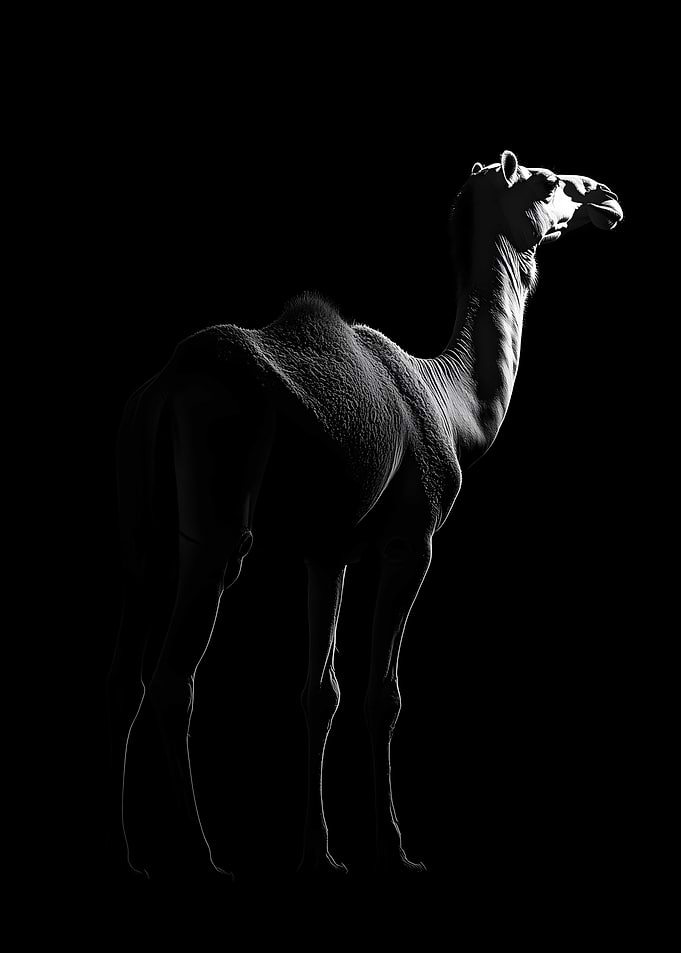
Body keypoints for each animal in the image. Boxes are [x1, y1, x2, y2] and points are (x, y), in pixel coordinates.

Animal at [105, 150, 623, 880]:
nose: (606, 197)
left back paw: (126, 855)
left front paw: (318, 853)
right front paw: (395, 850)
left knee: (125, 675)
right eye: (545, 182)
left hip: (139, 527)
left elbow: (319, 692)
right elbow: (384, 694)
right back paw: (203, 858)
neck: (454, 407)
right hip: (217, 512)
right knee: (173, 679)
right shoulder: (412, 541)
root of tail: (168, 384)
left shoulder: (327, 551)